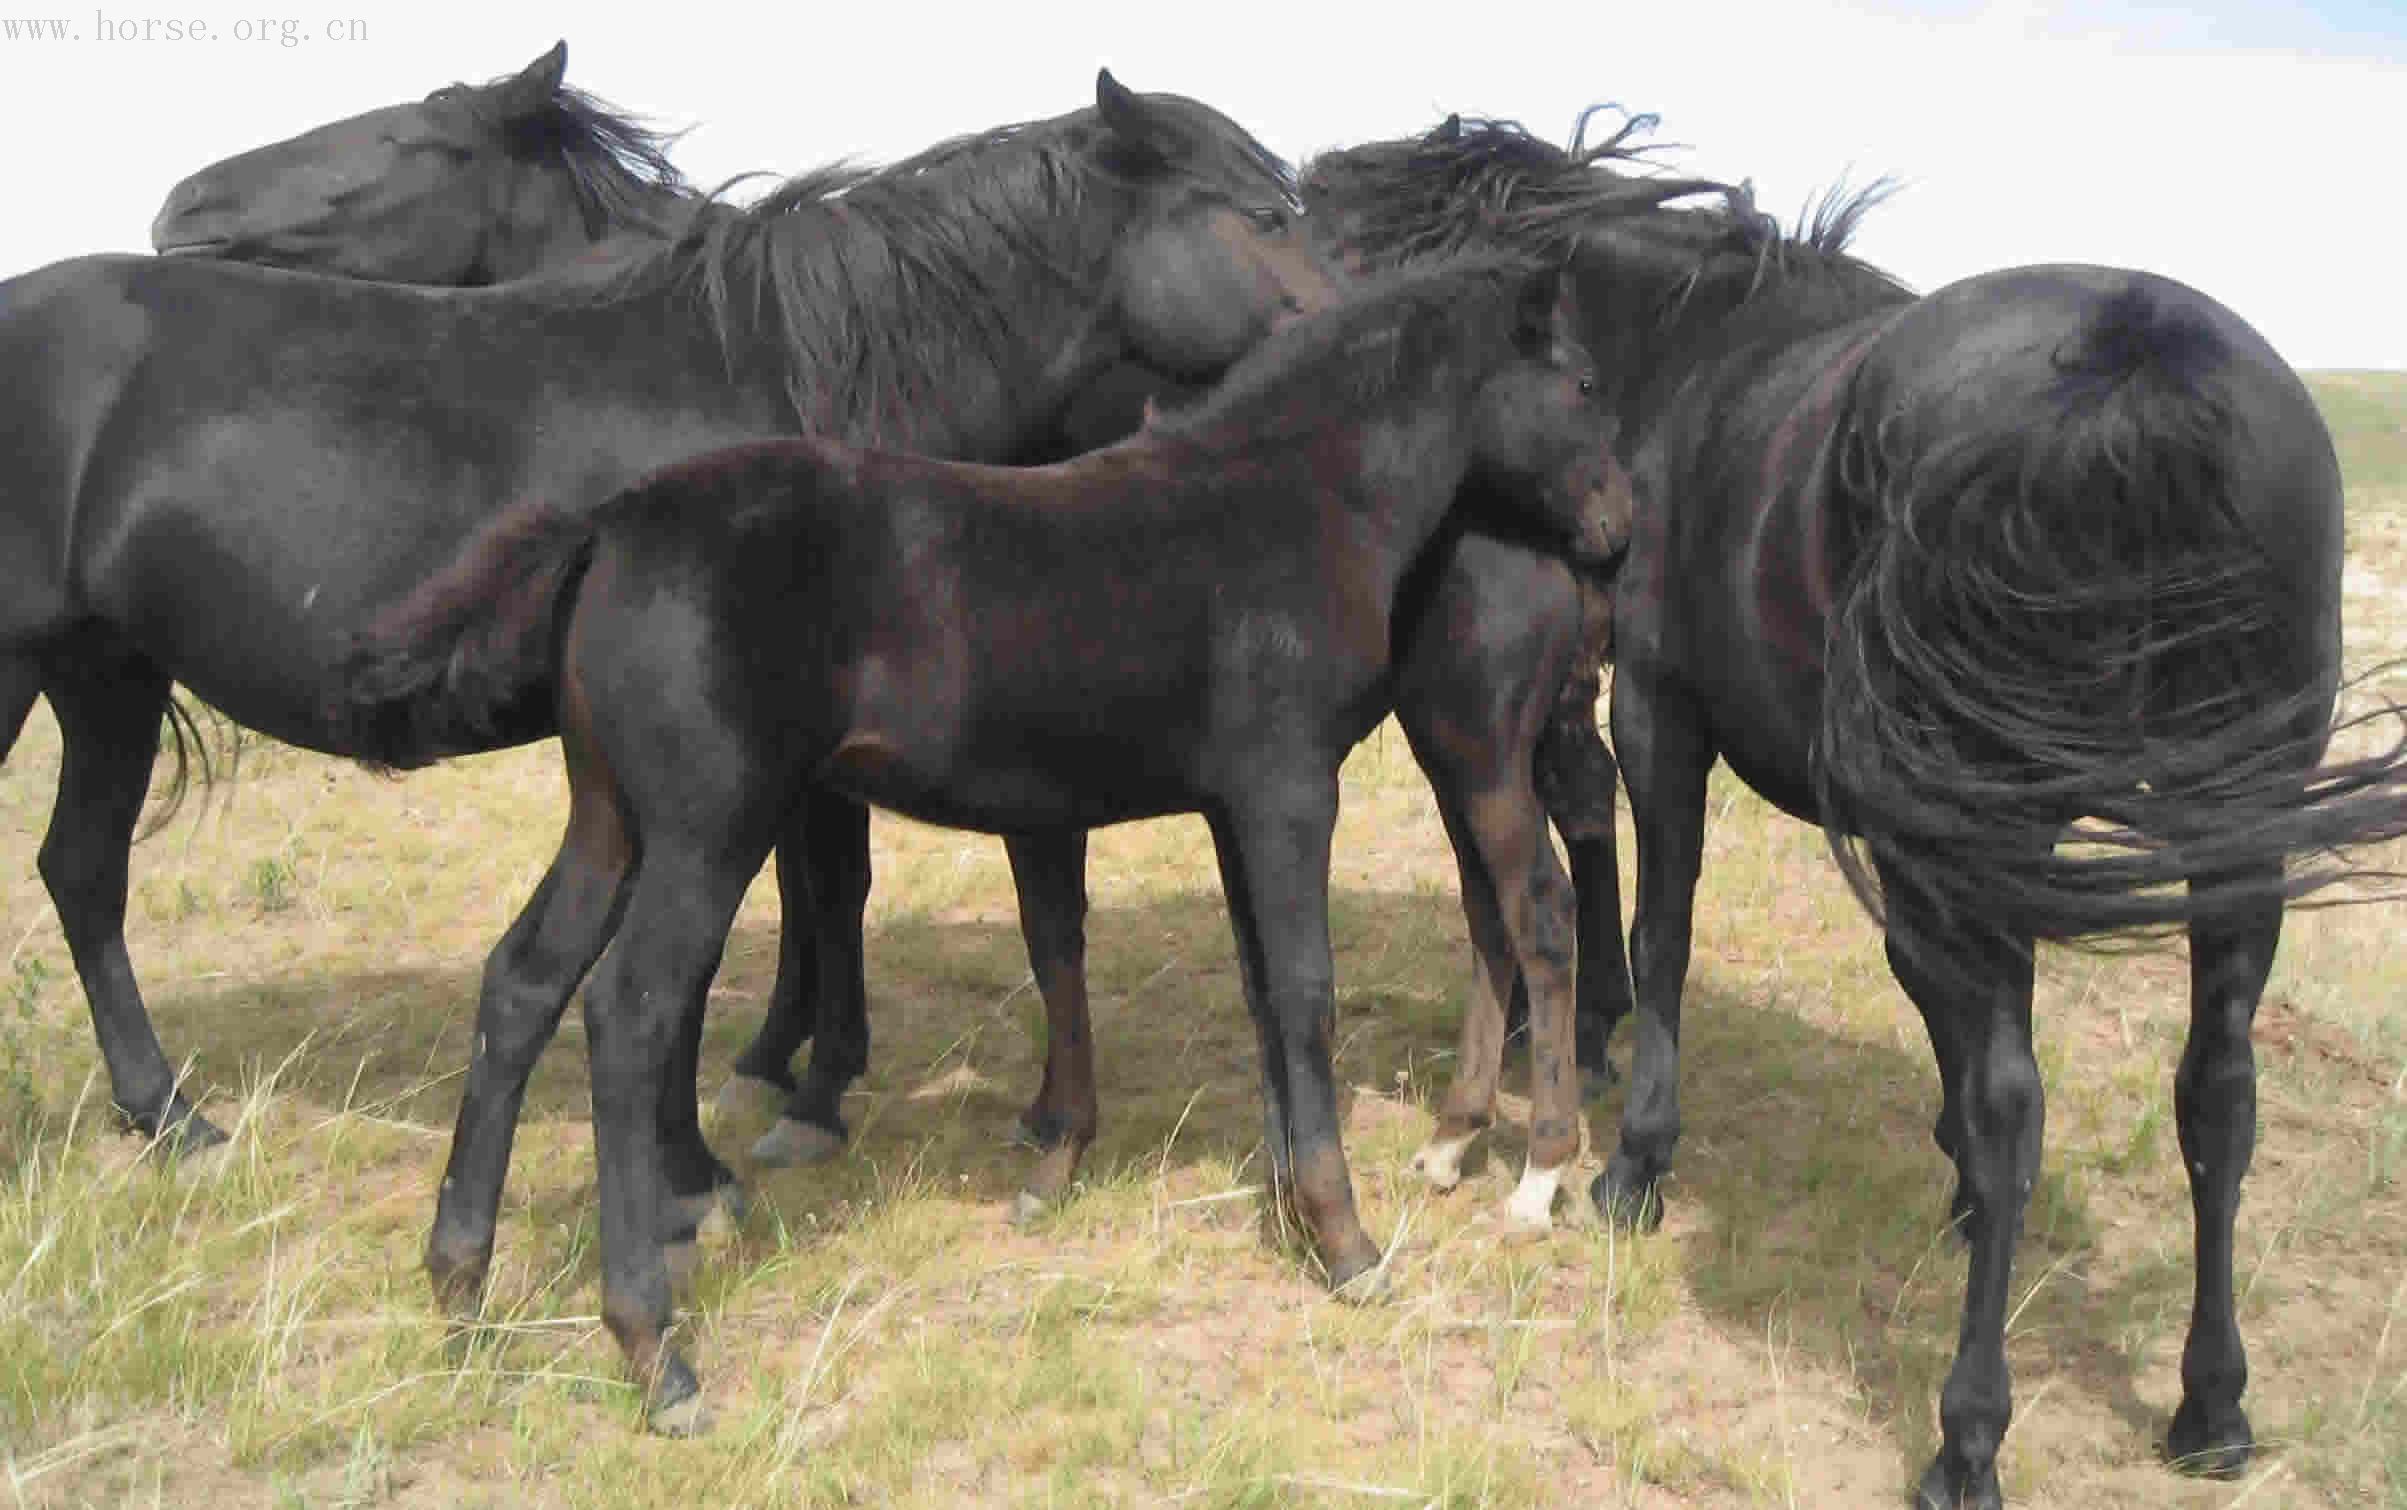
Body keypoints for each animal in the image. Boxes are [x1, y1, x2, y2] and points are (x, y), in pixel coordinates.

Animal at [0, 73, 1319, 1180]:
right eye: (1265, 210)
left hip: (106, 675)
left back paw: (169, 1118)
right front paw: (751, 1127)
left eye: (418, 138)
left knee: (82, 872)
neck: (794, 378)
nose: (181, 206)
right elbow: (780, 915)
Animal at [339, 260, 1646, 1425]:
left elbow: (1263, 993)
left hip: (611, 819)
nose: (1617, 532)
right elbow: (1306, 992)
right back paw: (654, 1350)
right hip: (710, 828)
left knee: (522, 984)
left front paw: (1288, 1206)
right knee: (628, 1013)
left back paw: (460, 1287)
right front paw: (1344, 1239)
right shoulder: (1286, 790)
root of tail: (607, 528)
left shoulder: (1231, 803)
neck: (1289, 499)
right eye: (1581, 382)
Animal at [1309, 118, 2407, 1510]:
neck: (1678, 358)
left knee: (2017, 1104)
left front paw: (1632, 1164)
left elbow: (1665, 934)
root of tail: (2141, 366)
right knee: (2215, 1092)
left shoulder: (1661, 713)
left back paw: (1966, 1435)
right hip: (2222, 831)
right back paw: (2210, 1405)